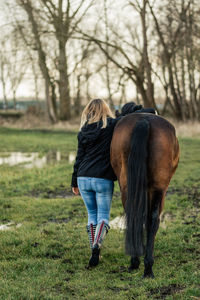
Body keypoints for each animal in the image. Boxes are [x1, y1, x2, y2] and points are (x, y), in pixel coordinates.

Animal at [111, 113, 180, 278]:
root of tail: (143, 120)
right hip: (159, 189)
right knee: (153, 221)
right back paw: (146, 266)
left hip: (127, 187)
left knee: (133, 216)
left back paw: (137, 261)